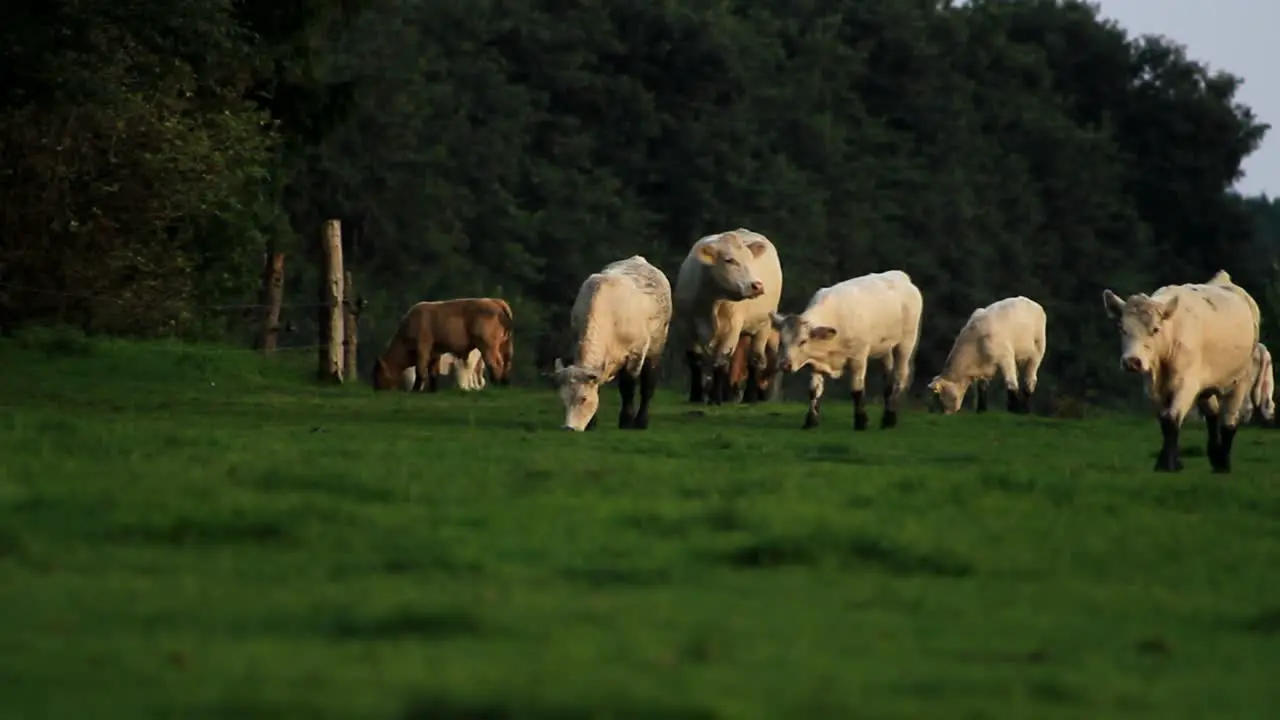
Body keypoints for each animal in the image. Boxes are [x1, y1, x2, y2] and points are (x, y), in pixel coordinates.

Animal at [368, 294, 512, 389]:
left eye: (376, 373)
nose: (376, 388)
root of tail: (496, 301)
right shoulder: (435, 353)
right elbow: (433, 372)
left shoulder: (422, 349)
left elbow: (420, 371)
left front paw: (415, 390)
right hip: (504, 345)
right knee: (506, 362)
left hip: (487, 346)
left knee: (495, 363)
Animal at [550, 254, 675, 427]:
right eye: (563, 401)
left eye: (583, 399)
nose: (568, 428)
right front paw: (592, 424)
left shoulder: (636, 353)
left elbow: (628, 386)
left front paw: (626, 420)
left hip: (656, 347)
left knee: (648, 385)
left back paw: (641, 421)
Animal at [675, 226, 783, 404]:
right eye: (729, 260)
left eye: (750, 259)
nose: (757, 285)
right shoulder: (686, 325)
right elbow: (695, 360)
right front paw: (696, 396)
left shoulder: (732, 327)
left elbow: (722, 361)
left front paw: (716, 399)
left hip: (764, 326)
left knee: (755, 359)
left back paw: (750, 398)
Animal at [768, 267, 921, 425]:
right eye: (781, 341)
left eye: (803, 341)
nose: (785, 365)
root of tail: (901, 276)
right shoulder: (816, 363)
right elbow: (814, 390)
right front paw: (811, 421)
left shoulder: (858, 357)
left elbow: (857, 390)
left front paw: (861, 421)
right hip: (885, 348)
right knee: (888, 381)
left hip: (906, 343)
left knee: (900, 376)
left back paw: (890, 418)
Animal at [1100, 269, 1259, 471]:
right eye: (1121, 329)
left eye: (1155, 329)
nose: (1132, 362)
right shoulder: (1154, 388)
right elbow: (1164, 420)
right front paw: (1169, 461)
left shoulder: (1186, 384)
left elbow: (1171, 418)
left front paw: (1167, 464)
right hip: (1207, 385)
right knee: (1212, 414)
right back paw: (1215, 455)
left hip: (1241, 379)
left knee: (1229, 421)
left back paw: (1223, 462)